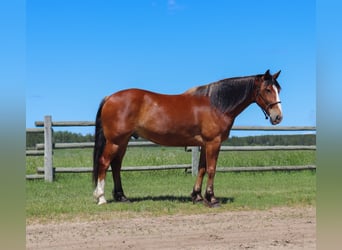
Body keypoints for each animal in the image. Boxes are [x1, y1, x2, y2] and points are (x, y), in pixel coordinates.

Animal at [92, 69, 282, 207]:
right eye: (267, 89)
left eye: (278, 90)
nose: (278, 117)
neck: (216, 104)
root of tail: (110, 97)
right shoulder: (214, 143)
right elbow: (211, 169)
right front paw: (212, 199)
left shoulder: (205, 144)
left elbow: (202, 169)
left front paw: (197, 196)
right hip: (115, 141)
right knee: (104, 163)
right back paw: (101, 197)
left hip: (123, 141)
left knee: (116, 165)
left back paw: (122, 197)